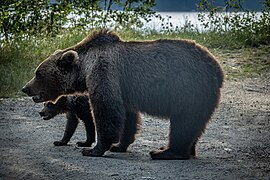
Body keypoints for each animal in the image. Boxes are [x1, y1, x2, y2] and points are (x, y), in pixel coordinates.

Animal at [21, 29, 224, 160]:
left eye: (38, 74)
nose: (25, 88)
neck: (84, 70)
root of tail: (217, 68)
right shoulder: (123, 89)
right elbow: (128, 117)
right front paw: (119, 146)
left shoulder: (104, 72)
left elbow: (106, 110)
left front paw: (94, 149)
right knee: (194, 123)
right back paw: (187, 150)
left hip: (187, 89)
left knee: (183, 122)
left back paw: (165, 152)